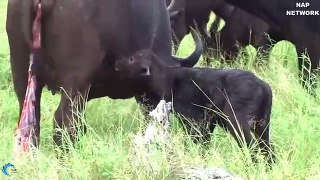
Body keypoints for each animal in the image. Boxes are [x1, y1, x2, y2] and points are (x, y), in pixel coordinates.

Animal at [115, 48, 276, 164]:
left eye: (132, 59)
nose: (117, 64)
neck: (169, 80)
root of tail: (264, 86)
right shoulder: (208, 124)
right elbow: (204, 145)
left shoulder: (194, 121)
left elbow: (196, 143)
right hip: (262, 125)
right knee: (268, 149)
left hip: (237, 123)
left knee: (252, 147)